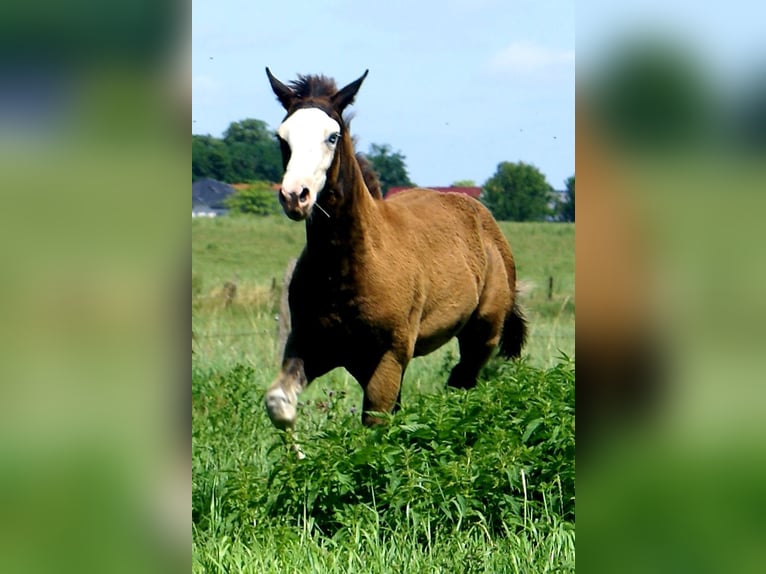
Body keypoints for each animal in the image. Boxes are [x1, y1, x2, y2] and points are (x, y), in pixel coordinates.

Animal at [264, 68, 527, 432]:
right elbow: (279, 405)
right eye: (282, 137)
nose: (295, 196)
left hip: (483, 333)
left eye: (332, 136)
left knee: (462, 382)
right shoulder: (314, 346)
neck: (346, 269)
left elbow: (376, 424)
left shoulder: (388, 355)